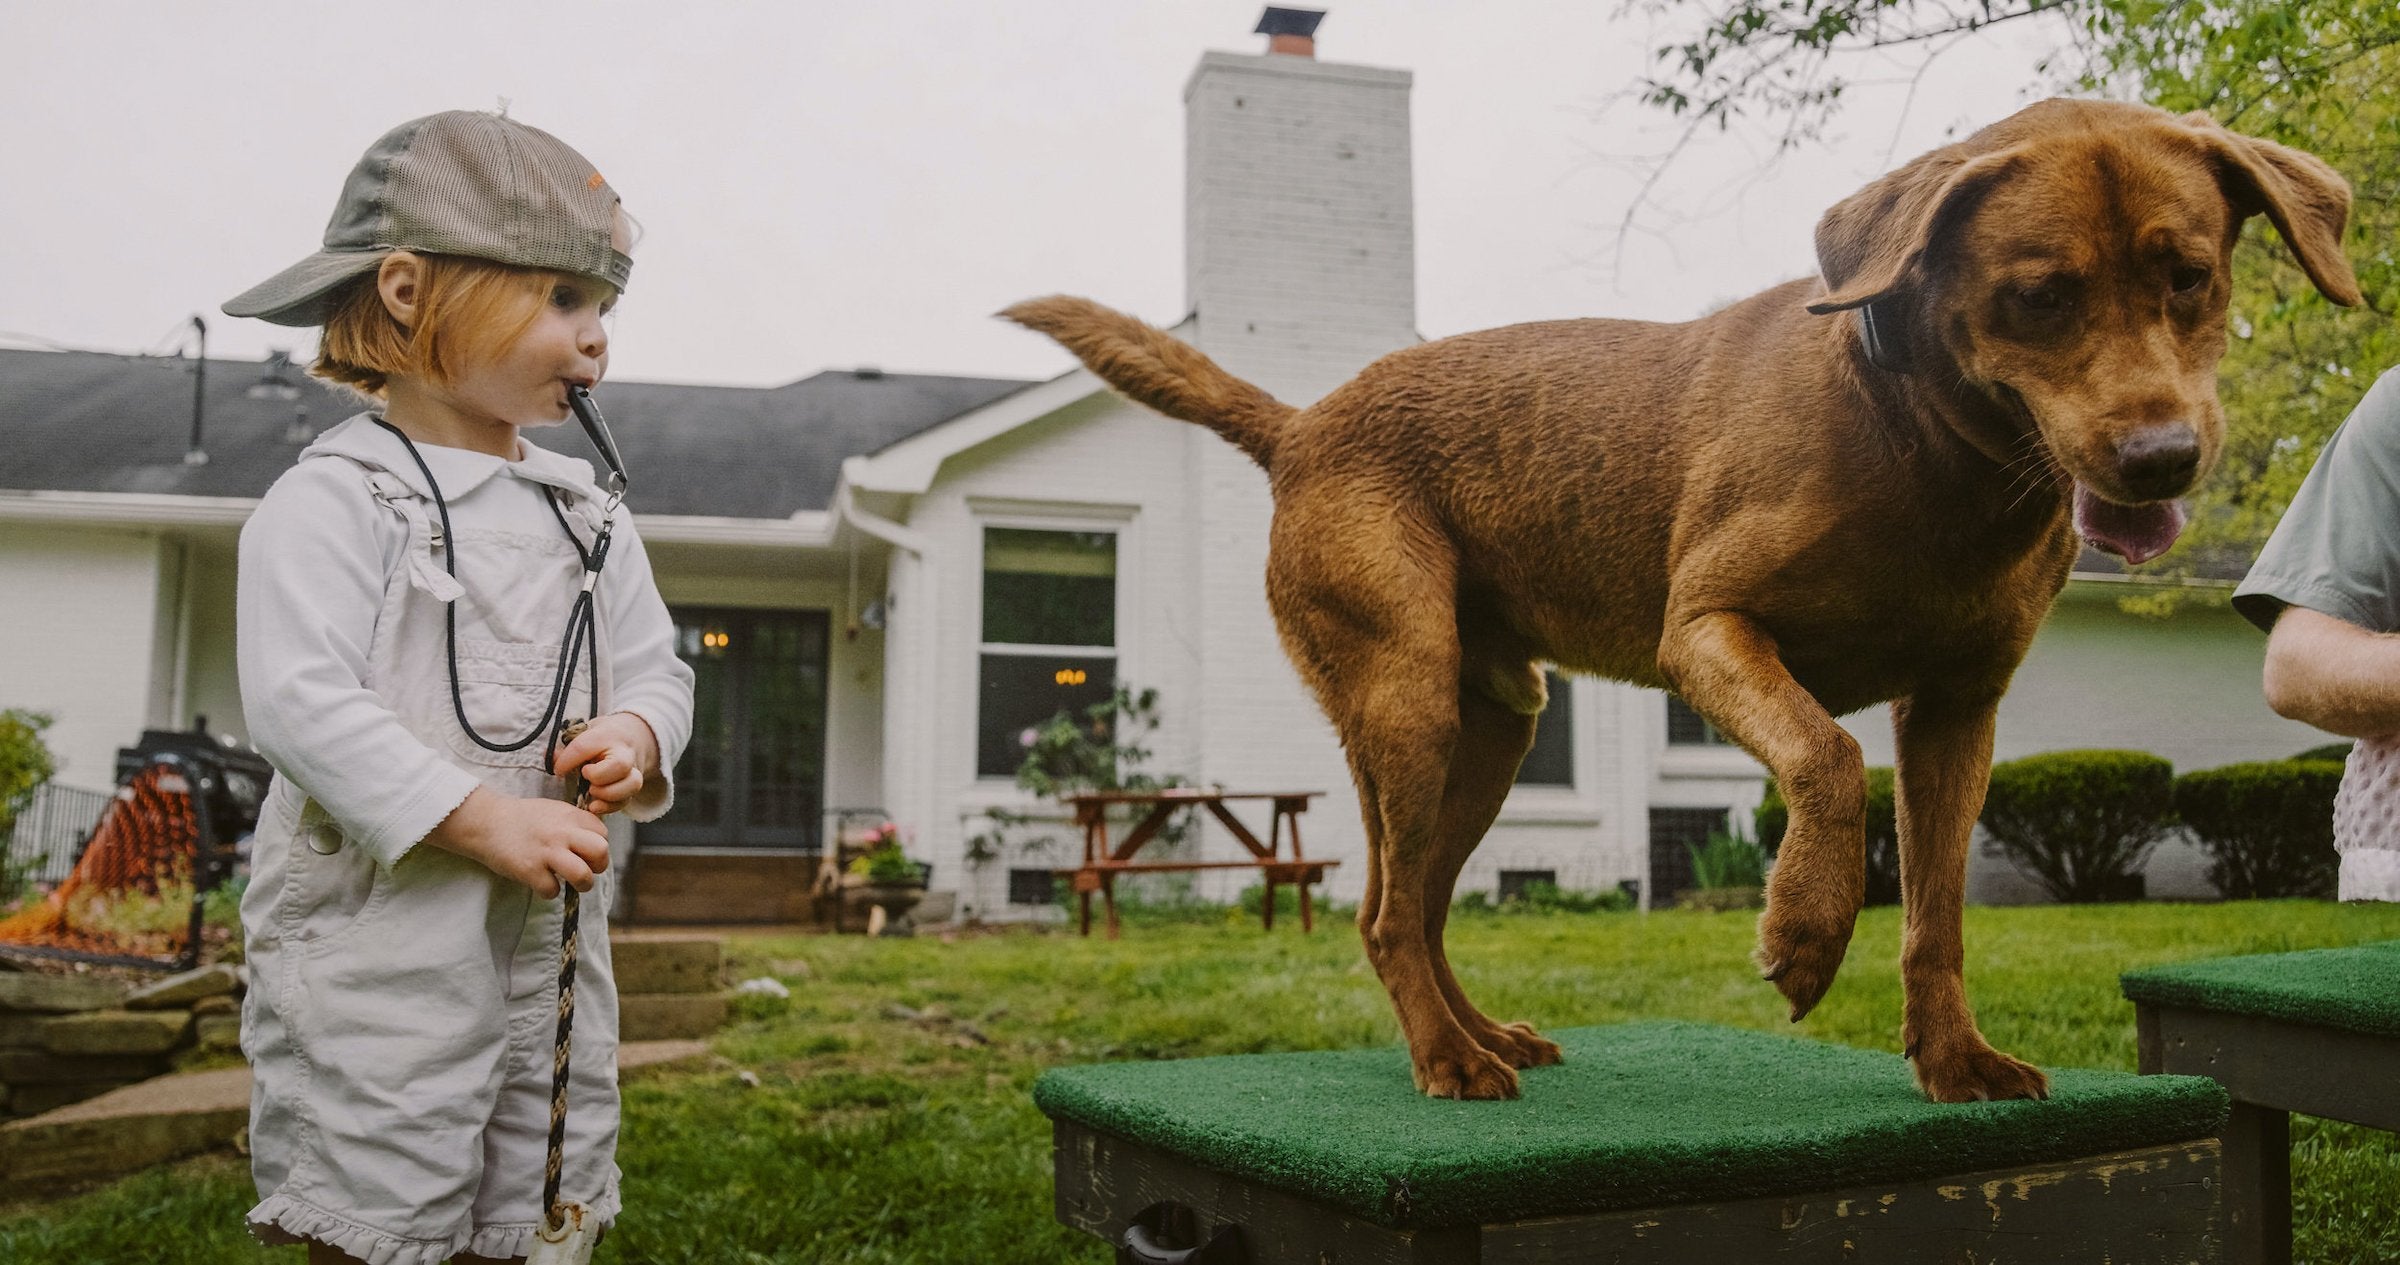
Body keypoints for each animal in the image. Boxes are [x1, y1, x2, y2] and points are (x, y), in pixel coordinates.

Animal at [998, 99, 2361, 1104]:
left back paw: (1487, 1037)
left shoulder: (1958, 710)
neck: (1923, 449)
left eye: (2189, 277)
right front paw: (1802, 936)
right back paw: (1450, 1062)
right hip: (1408, 698)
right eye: (2040, 293)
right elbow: (1822, 755)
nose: (2162, 460)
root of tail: (1298, 428)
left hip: (1492, 729)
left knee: (1422, 908)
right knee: (1386, 913)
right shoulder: (1708, 632)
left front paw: (1952, 1058)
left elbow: (1935, 908)